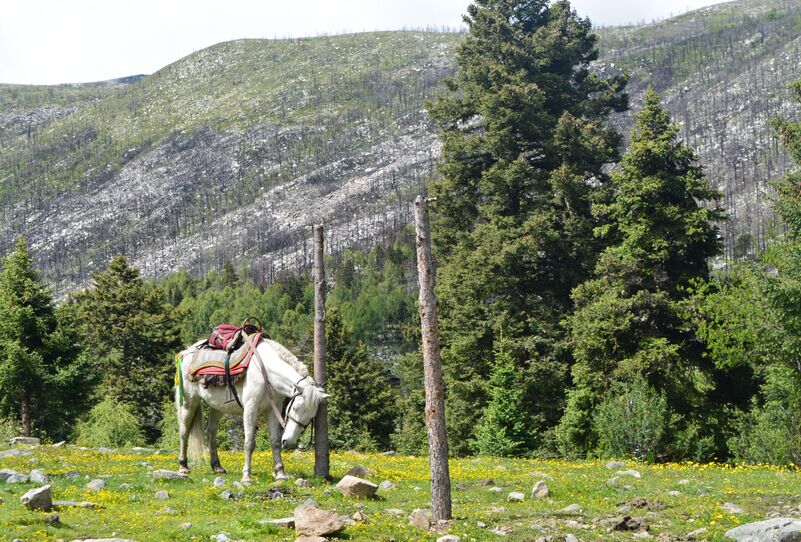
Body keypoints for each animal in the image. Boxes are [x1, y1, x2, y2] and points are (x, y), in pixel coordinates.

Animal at [174, 338, 324, 486]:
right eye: (295, 408)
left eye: (311, 416)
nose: (289, 442)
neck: (266, 373)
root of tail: (186, 353)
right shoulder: (250, 409)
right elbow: (249, 443)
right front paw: (246, 477)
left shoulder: (272, 409)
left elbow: (275, 442)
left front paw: (280, 474)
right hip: (189, 402)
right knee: (184, 431)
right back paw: (183, 467)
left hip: (217, 406)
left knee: (211, 431)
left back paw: (217, 467)